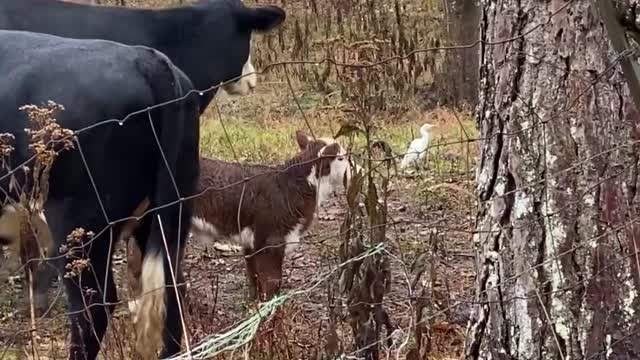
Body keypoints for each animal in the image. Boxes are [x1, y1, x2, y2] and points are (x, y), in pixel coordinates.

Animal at [191, 131, 350, 300]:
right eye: (341, 158)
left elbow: (254, 275)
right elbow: (272, 281)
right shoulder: (271, 240)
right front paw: (270, 304)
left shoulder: (252, 243)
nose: (357, 168)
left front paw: (254, 302)